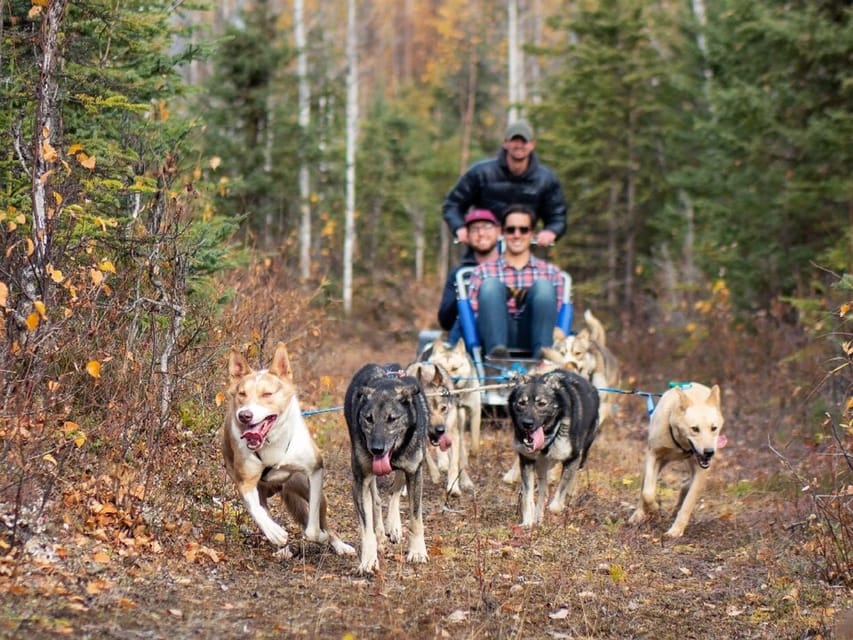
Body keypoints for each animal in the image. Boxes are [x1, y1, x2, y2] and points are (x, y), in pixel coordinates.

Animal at [223, 342, 352, 556]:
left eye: (267, 394)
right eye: (242, 394)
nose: (244, 415)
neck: (272, 442)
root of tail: (280, 488)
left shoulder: (315, 471)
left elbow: (312, 528)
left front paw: (319, 536)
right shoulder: (245, 482)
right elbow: (255, 509)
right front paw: (276, 534)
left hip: (305, 487)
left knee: (324, 523)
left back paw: (338, 544)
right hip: (262, 491)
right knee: (263, 509)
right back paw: (281, 547)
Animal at [342, 362, 430, 576]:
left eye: (392, 419)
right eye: (368, 418)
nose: (376, 449)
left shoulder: (414, 472)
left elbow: (416, 517)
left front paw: (417, 552)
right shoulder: (360, 480)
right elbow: (366, 526)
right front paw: (368, 560)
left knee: (394, 490)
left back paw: (394, 526)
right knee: (375, 500)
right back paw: (381, 534)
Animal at [506, 368, 600, 528]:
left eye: (542, 403)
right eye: (521, 403)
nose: (527, 423)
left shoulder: (572, 458)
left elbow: (561, 492)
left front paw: (556, 506)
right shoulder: (527, 461)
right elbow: (527, 497)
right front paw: (528, 520)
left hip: (583, 454)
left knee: (572, 478)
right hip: (541, 466)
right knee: (544, 490)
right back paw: (538, 516)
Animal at [624, 382, 724, 536]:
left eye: (714, 428)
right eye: (695, 429)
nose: (709, 452)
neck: (680, 444)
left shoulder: (701, 470)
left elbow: (688, 503)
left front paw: (676, 530)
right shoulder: (654, 456)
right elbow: (648, 493)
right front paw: (654, 508)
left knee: (687, 485)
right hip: (653, 464)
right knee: (643, 490)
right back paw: (639, 514)